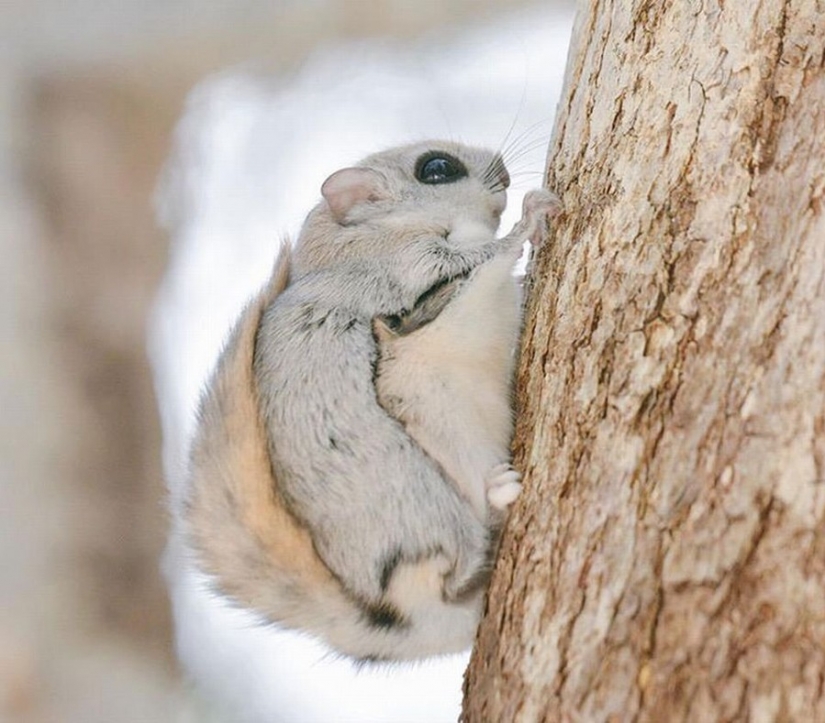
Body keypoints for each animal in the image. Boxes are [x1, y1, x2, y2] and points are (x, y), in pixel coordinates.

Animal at [184, 140, 560, 660]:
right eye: (436, 169)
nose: (504, 172)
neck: (371, 234)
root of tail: (403, 618)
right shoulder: (412, 268)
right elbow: (490, 254)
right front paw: (534, 211)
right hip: (422, 500)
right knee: (455, 565)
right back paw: (499, 501)